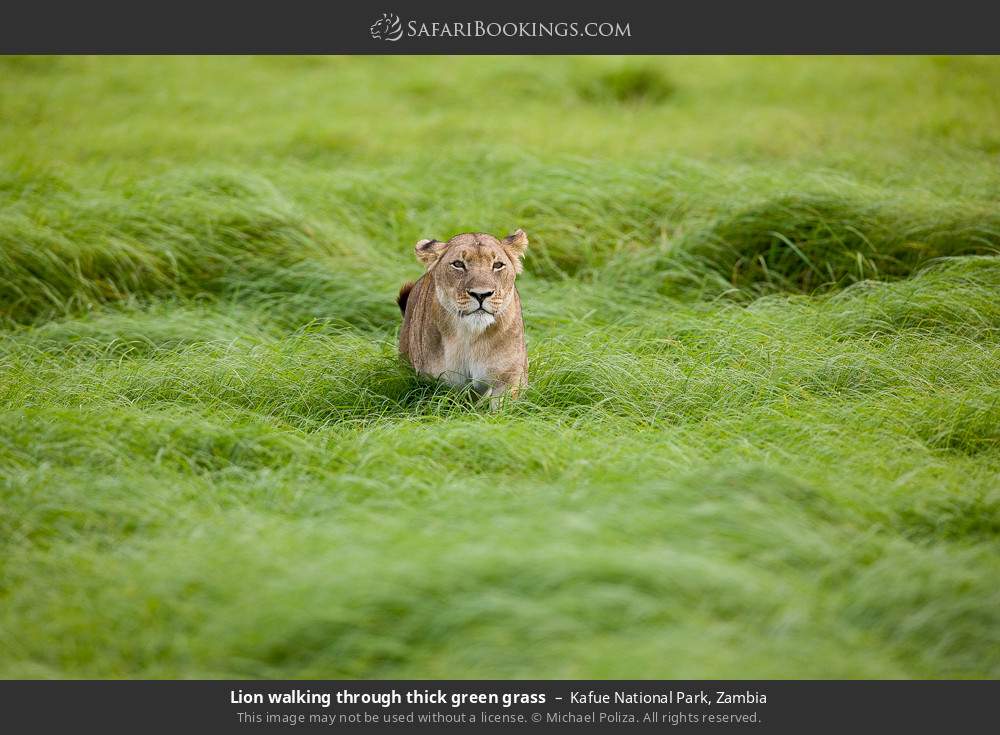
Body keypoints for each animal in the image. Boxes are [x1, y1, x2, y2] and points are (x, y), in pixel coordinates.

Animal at [397, 229, 529, 408]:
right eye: (458, 264)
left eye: (498, 265)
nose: (481, 294)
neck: (470, 336)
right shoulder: (436, 383)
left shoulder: (509, 377)